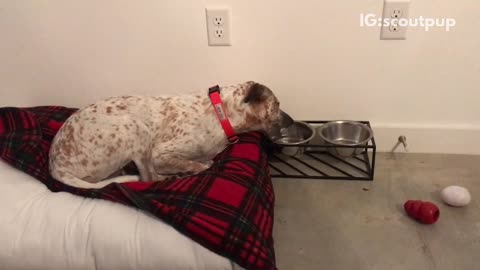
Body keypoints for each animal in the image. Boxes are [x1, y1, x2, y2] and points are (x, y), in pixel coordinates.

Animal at [48, 81, 292, 189]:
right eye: (278, 105)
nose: (291, 121)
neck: (221, 112)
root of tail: (56, 166)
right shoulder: (160, 154)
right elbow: (200, 164)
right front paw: (189, 168)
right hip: (134, 127)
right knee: (148, 178)